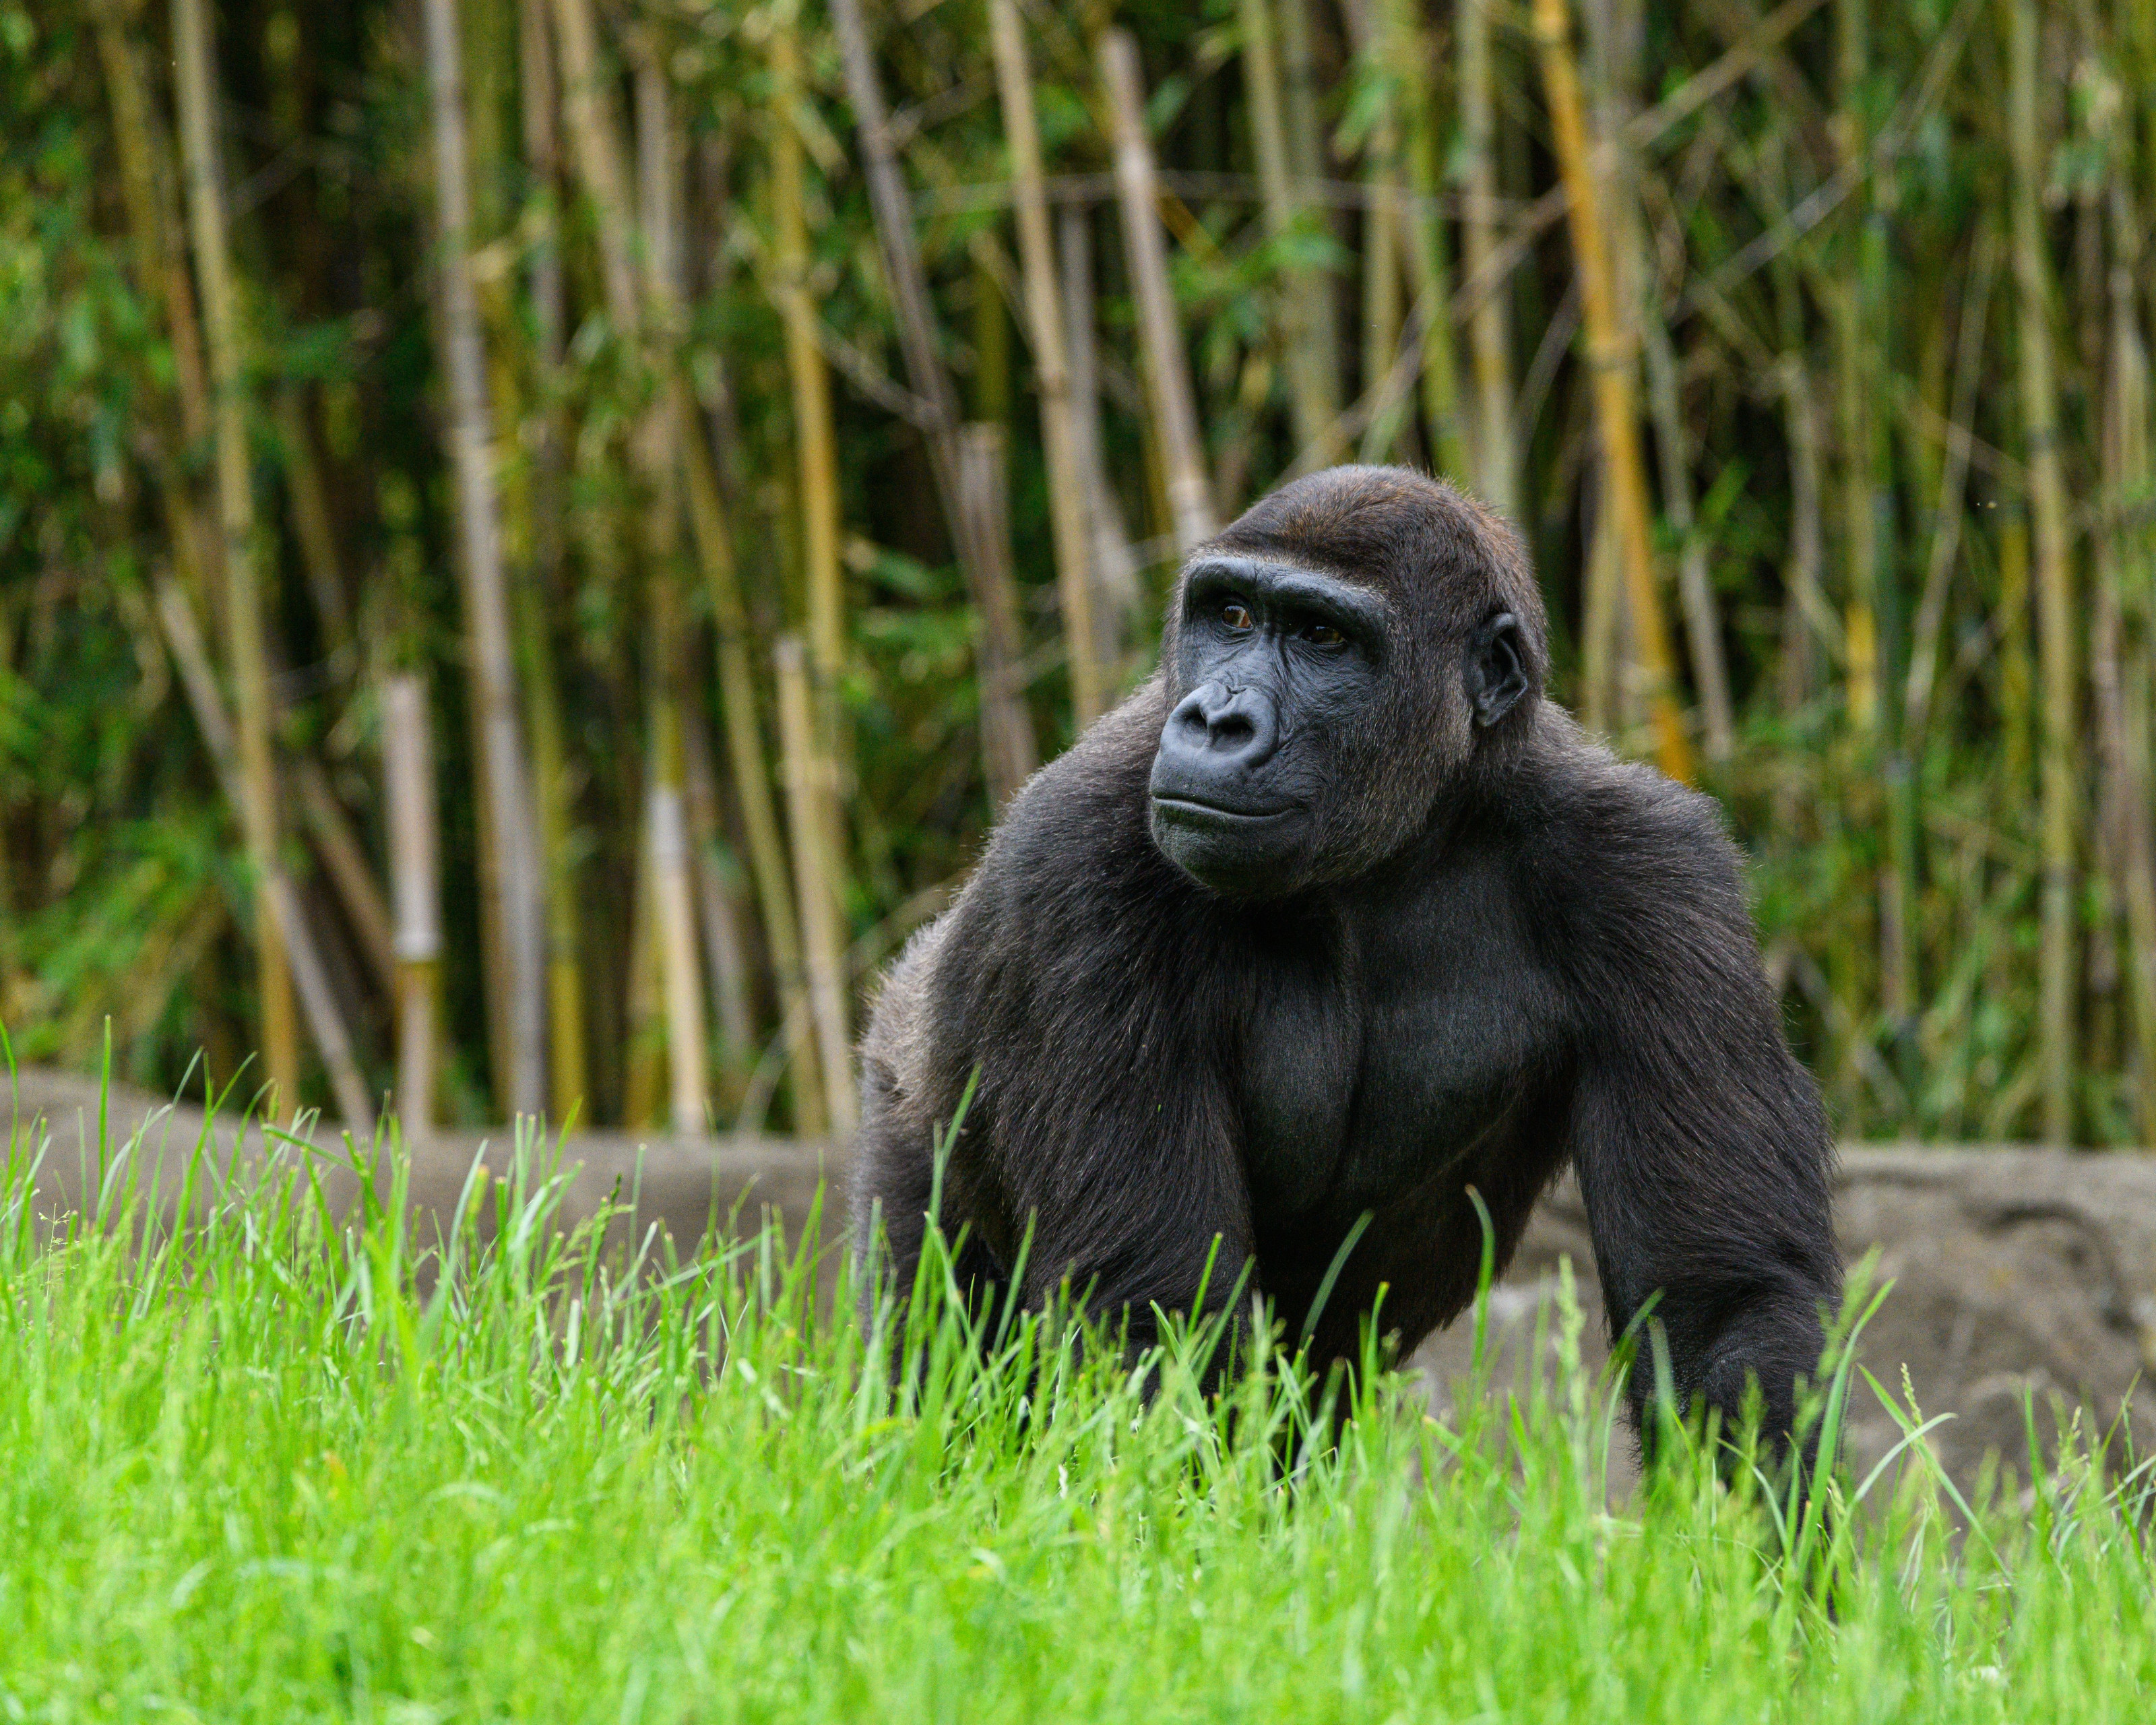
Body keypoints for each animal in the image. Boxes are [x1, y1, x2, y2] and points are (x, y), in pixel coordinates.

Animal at [852, 466, 1840, 1460]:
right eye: (1231, 616)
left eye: (1321, 637)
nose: (1215, 719)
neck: (1401, 844)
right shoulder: (1070, 857)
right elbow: (1154, 1308)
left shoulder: (1658, 878)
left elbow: (1723, 1310)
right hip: (903, 1105)